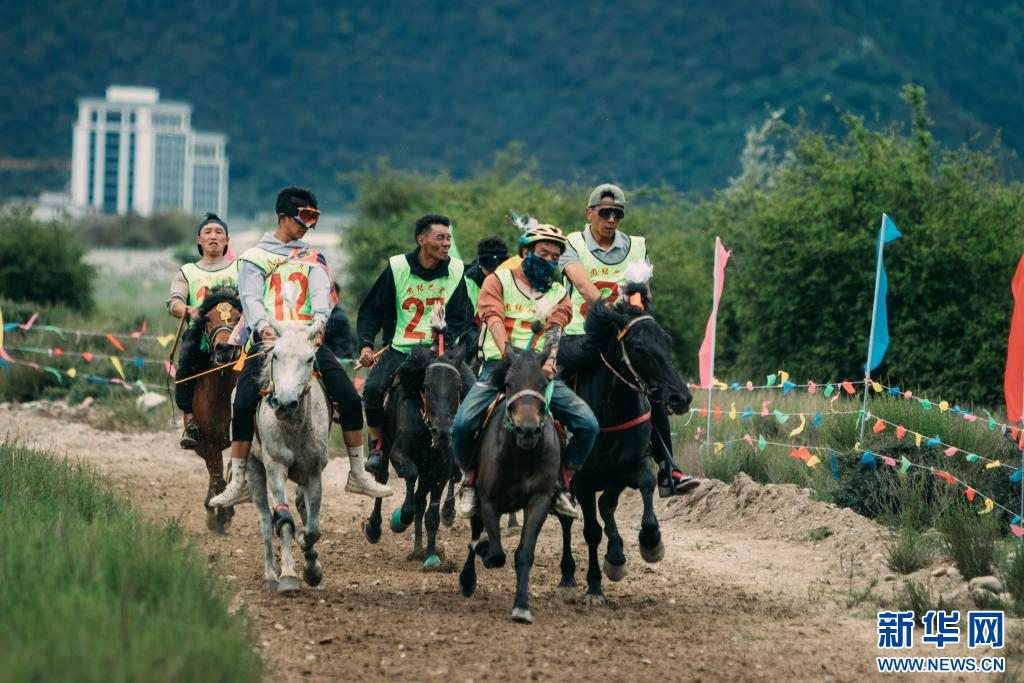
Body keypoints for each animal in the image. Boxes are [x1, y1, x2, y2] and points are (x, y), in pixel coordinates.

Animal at [246, 316, 330, 595]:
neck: (293, 427)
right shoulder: (275, 468)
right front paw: (289, 576)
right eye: (276, 355)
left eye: (310, 359)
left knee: (302, 507)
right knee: (264, 521)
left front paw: (311, 568)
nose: (284, 403)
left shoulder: (314, 472)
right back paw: (271, 575)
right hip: (253, 468)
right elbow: (282, 522)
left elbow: (313, 528)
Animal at [361, 327, 465, 571]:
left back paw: (419, 550)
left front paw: (432, 557)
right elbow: (409, 475)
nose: (442, 432)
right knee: (382, 479)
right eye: (426, 386)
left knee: (421, 500)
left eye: (458, 387)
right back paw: (375, 527)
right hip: (382, 451)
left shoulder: (441, 470)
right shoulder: (400, 454)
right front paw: (401, 517)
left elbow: (431, 515)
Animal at [458, 343, 560, 623]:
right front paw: (482, 547)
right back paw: (467, 578)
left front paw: (522, 606)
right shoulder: (489, 502)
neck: (520, 456)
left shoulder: (539, 501)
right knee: (475, 533)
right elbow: (495, 553)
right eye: (509, 383)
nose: (528, 430)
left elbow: (523, 554)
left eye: (543, 382)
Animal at [556, 284, 692, 605]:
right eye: (639, 347)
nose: (681, 397)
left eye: (667, 342)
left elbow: (642, 491)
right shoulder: (582, 480)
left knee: (606, 505)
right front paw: (594, 585)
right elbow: (591, 530)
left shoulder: (631, 465)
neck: (610, 411)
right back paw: (568, 577)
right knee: (568, 521)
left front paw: (649, 545)